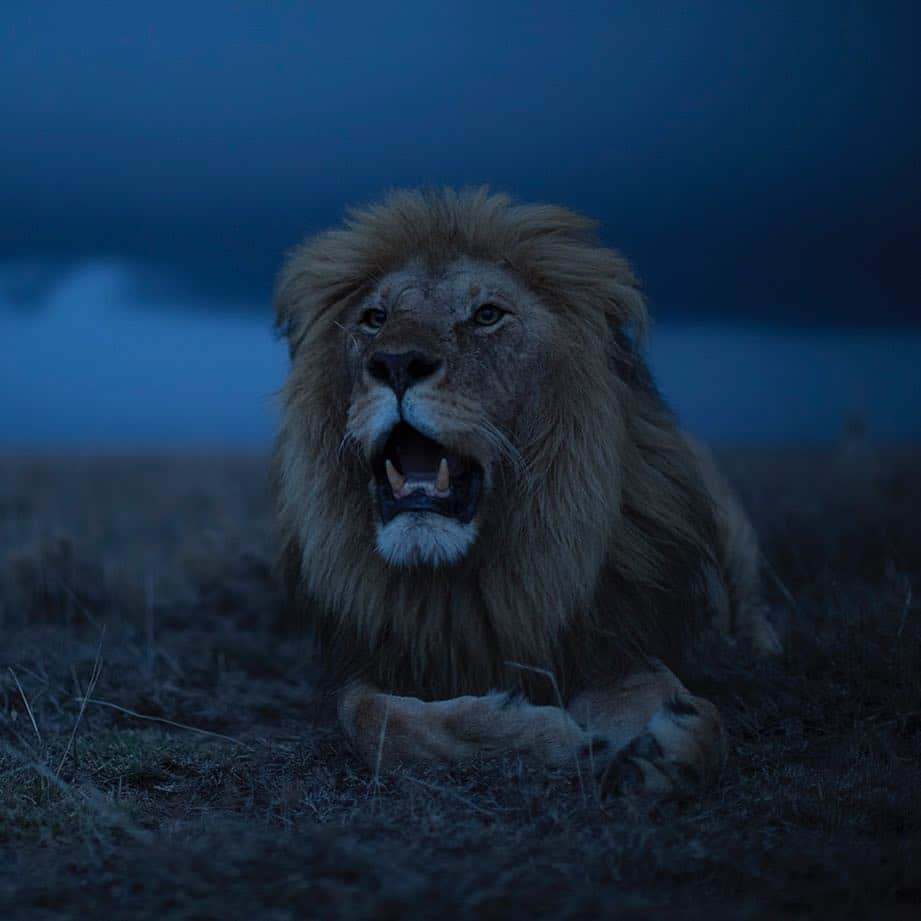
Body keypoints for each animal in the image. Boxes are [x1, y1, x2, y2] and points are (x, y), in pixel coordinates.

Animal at [272, 189, 776, 796]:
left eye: (487, 315)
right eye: (375, 318)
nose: (395, 362)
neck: (461, 577)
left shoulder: (610, 639)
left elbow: (684, 703)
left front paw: (668, 745)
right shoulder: (368, 661)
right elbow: (373, 720)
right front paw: (549, 738)